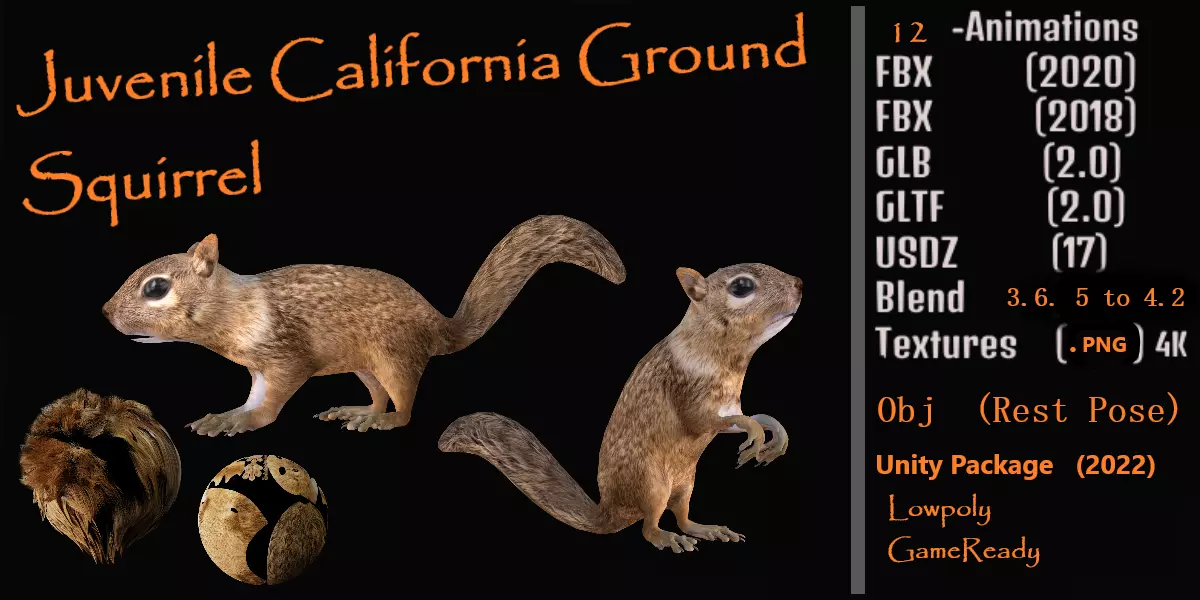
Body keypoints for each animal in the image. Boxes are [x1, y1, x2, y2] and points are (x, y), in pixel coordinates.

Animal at [101, 215, 626, 437]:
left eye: (156, 287)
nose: (105, 313)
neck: (239, 305)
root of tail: (439, 328)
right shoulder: (258, 366)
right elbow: (253, 393)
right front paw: (227, 413)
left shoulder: (287, 358)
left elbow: (268, 405)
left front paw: (241, 421)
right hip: (365, 366)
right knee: (377, 393)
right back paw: (359, 409)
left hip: (394, 358)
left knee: (406, 409)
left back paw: (382, 420)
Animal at [438, 263, 800, 553]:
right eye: (741, 287)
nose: (799, 283)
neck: (726, 357)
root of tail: (613, 510)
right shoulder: (689, 391)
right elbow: (707, 421)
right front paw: (757, 435)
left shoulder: (728, 405)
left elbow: (746, 417)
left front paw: (774, 435)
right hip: (652, 483)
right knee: (649, 527)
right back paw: (668, 539)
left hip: (686, 483)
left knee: (682, 516)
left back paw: (706, 529)